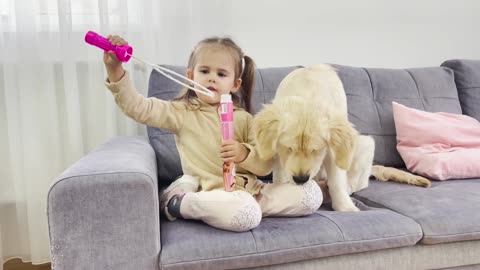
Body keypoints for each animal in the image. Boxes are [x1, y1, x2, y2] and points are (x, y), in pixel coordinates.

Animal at [253, 65, 430, 211]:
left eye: (317, 150)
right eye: (288, 148)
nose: (301, 179)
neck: (308, 92)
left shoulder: (335, 148)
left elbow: (337, 180)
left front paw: (345, 207)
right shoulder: (276, 151)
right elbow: (280, 173)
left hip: (365, 144)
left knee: (355, 183)